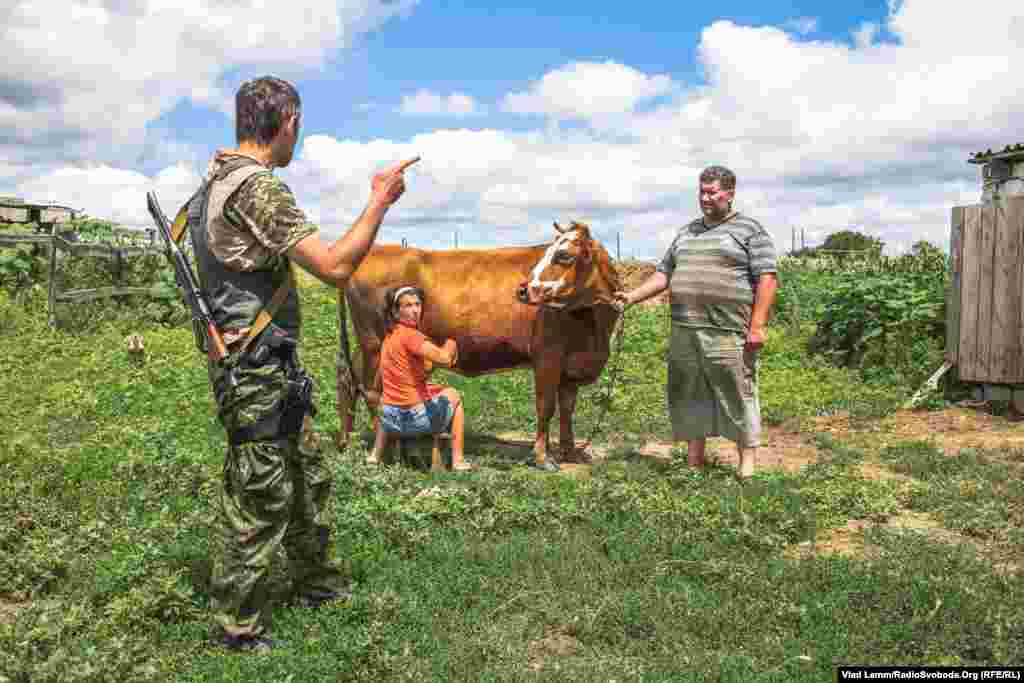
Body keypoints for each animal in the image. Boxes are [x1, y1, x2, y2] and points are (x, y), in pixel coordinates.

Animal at [339, 222, 618, 473]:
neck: (594, 326)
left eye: (564, 255)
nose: (523, 290)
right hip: (374, 344)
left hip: (368, 344)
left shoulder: (572, 366)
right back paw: (389, 450)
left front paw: (570, 453)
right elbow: (546, 406)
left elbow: (568, 409)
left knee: (348, 381)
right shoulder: (547, 357)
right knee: (372, 392)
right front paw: (542, 458)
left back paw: (348, 442)